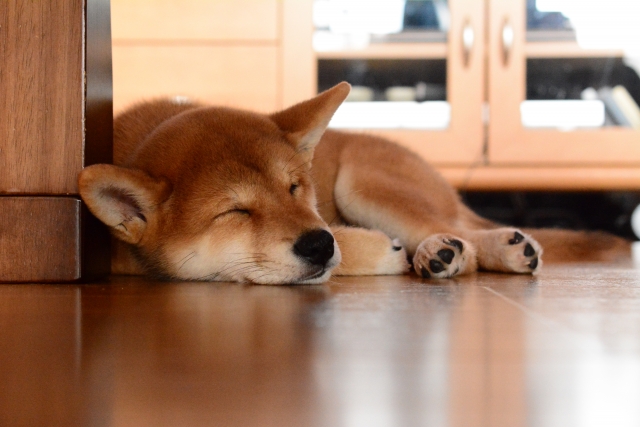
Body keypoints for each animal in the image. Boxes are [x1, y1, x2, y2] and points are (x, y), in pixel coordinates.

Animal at [79, 83, 632, 284]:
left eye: (295, 188)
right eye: (235, 211)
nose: (319, 243)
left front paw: (373, 250)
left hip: (361, 182)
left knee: (461, 233)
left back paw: (467, 248)